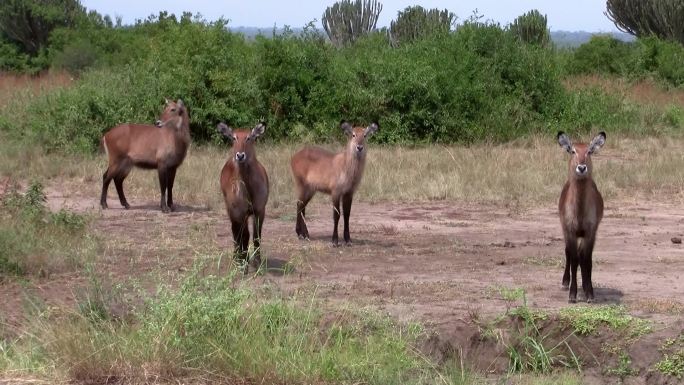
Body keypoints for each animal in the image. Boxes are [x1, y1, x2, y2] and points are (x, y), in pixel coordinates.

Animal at [218, 121, 268, 272]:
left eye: (249, 137)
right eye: (234, 137)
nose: (240, 155)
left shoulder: (260, 211)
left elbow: (257, 237)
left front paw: (258, 263)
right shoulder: (240, 212)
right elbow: (243, 236)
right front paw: (243, 263)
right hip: (232, 211)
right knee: (236, 233)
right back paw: (238, 258)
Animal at [560, 132, 608, 304]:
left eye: (589, 151)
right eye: (573, 151)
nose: (581, 167)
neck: (579, 211)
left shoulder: (590, 232)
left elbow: (587, 260)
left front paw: (589, 293)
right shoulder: (570, 231)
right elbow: (574, 260)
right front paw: (572, 294)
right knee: (569, 253)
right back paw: (565, 282)